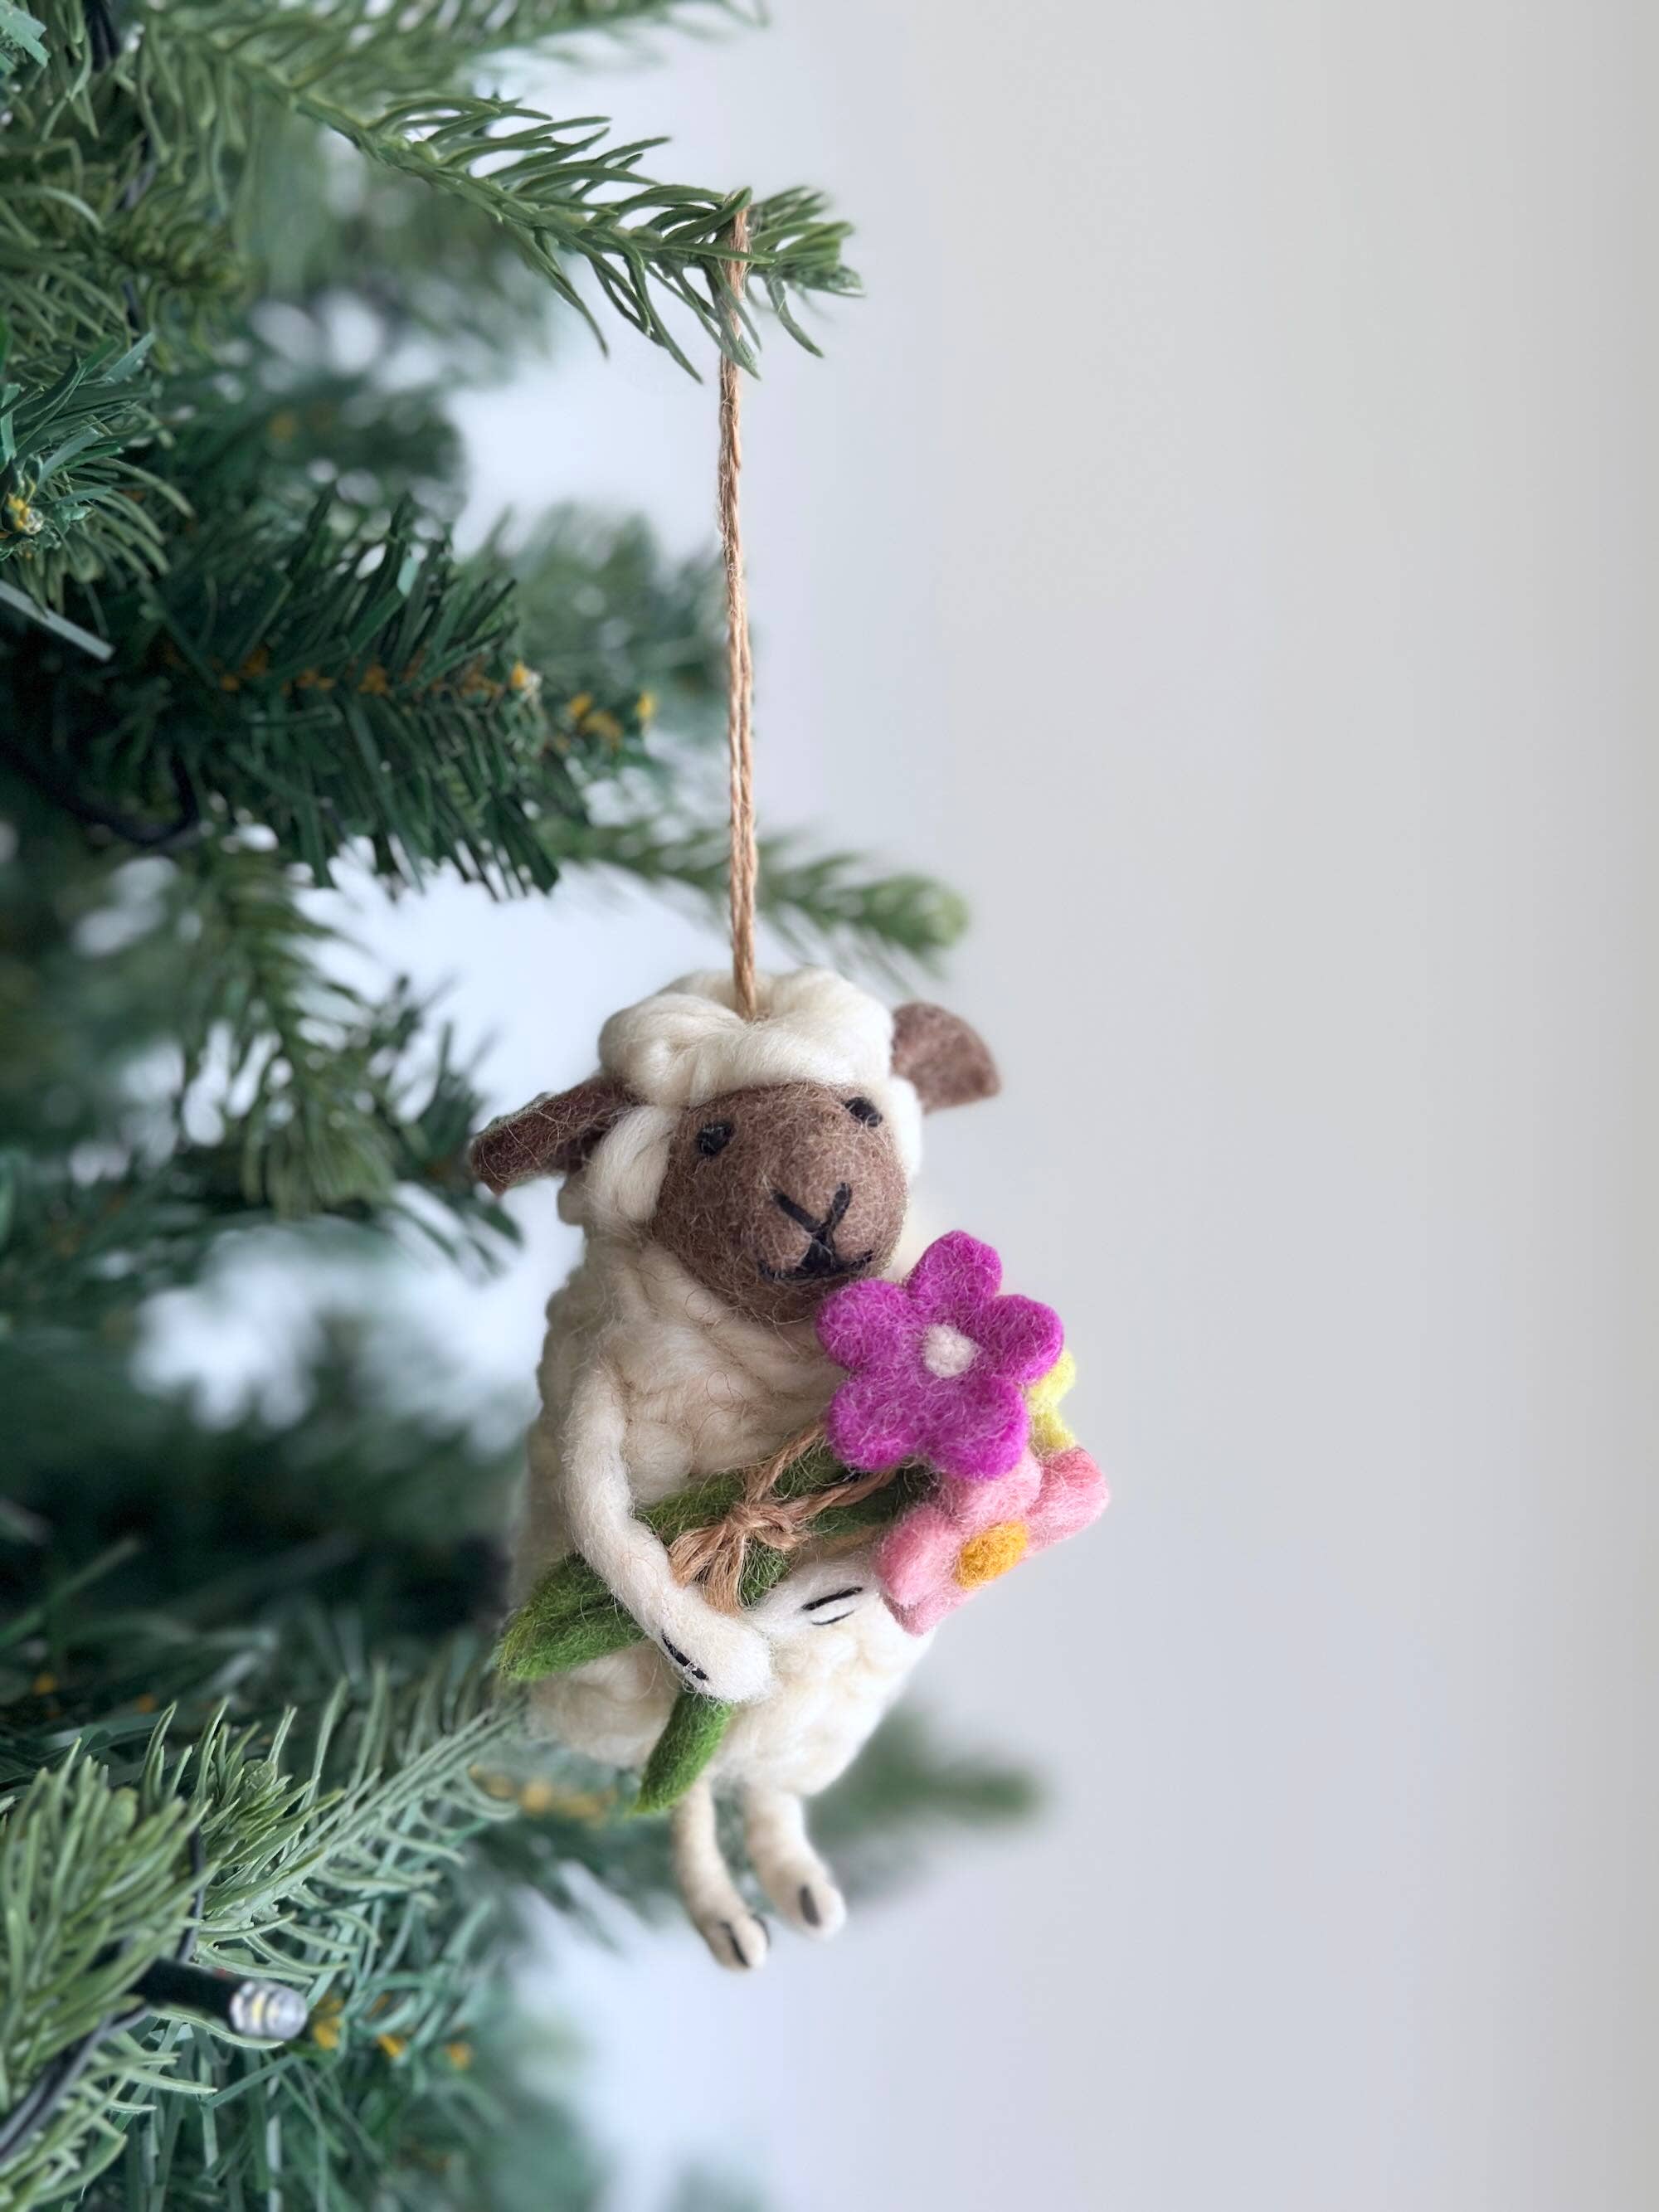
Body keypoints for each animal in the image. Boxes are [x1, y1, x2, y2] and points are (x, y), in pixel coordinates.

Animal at [470, 967, 998, 1969]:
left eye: (862, 1112)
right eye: (711, 1139)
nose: (818, 1203)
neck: (782, 1340)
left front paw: (829, 1596)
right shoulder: (604, 1386)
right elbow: (607, 1528)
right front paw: (715, 1652)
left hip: (811, 1729)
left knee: (767, 1788)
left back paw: (800, 1885)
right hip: (644, 1722)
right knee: (682, 1800)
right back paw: (727, 1913)